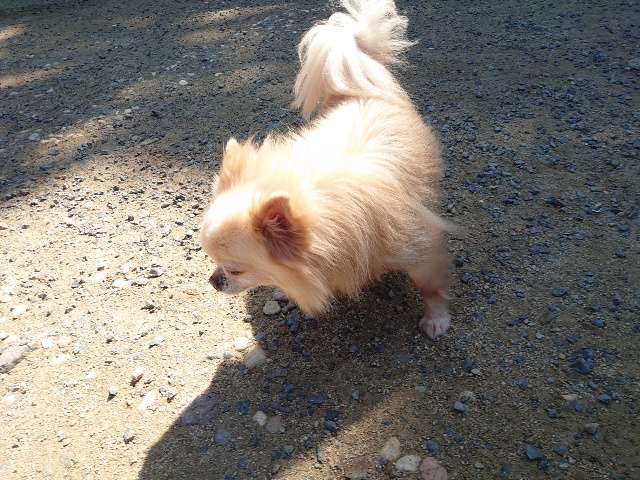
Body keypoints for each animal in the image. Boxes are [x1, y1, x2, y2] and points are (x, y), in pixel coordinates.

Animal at [199, 0, 452, 339]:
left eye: (236, 269)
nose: (214, 280)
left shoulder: (420, 247)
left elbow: (429, 285)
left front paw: (436, 318)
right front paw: (285, 289)